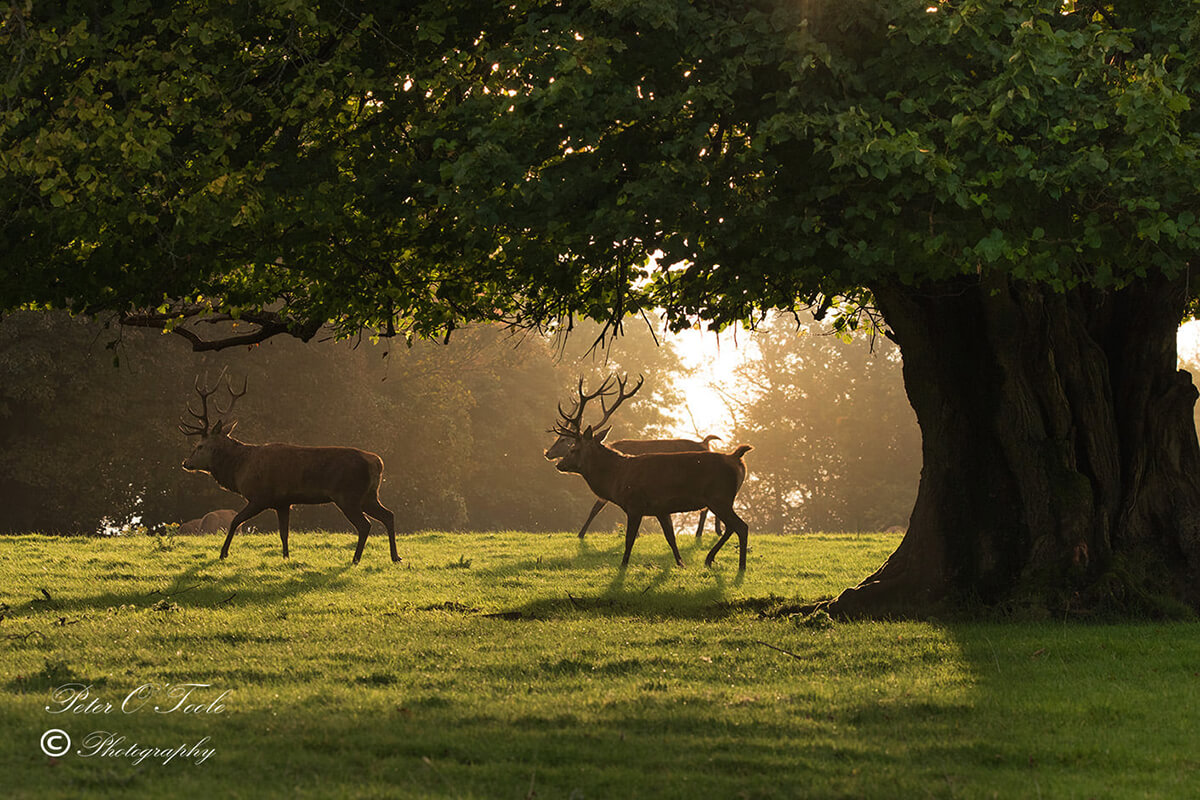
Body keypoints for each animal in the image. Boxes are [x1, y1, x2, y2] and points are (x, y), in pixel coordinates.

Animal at [178, 370, 399, 564]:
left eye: (200, 446)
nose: (185, 462)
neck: (240, 469)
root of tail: (376, 462)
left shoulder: (260, 497)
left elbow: (235, 521)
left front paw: (223, 553)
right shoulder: (283, 502)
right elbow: (284, 533)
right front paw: (286, 557)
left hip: (348, 495)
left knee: (365, 525)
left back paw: (356, 559)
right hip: (369, 495)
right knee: (388, 515)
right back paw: (395, 557)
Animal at [550, 376, 753, 570]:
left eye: (573, 448)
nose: (559, 464)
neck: (617, 478)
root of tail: (737, 458)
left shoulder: (635, 504)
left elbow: (629, 539)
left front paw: (623, 566)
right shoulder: (661, 509)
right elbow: (671, 538)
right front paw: (681, 564)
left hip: (719, 497)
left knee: (741, 526)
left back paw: (740, 566)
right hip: (721, 500)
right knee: (731, 527)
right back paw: (710, 559)